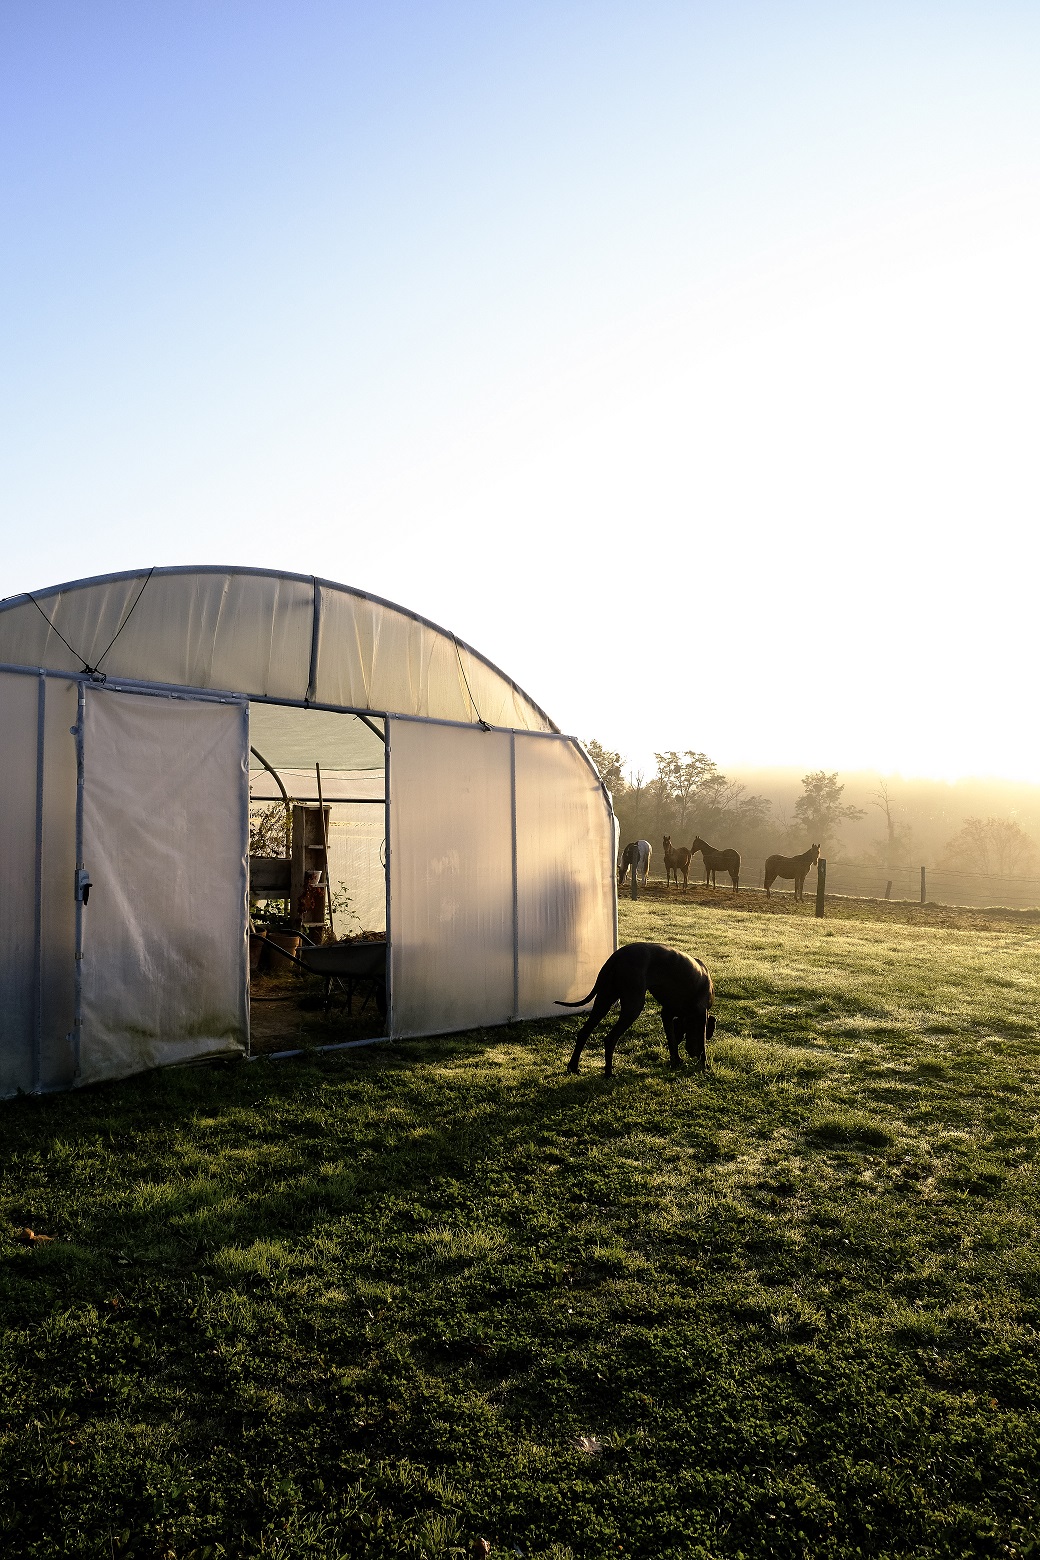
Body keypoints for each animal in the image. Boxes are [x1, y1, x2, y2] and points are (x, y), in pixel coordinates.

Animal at [557, 941, 715, 1076]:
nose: (692, 1054)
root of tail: (617, 956)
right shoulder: (701, 1016)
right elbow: (702, 1044)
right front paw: (705, 1065)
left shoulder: (667, 1015)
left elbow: (672, 1041)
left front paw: (676, 1061)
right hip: (633, 1006)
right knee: (610, 1038)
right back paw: (609, 1073)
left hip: (603, 1000)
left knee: (583, 1032)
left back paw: (574, 1067)